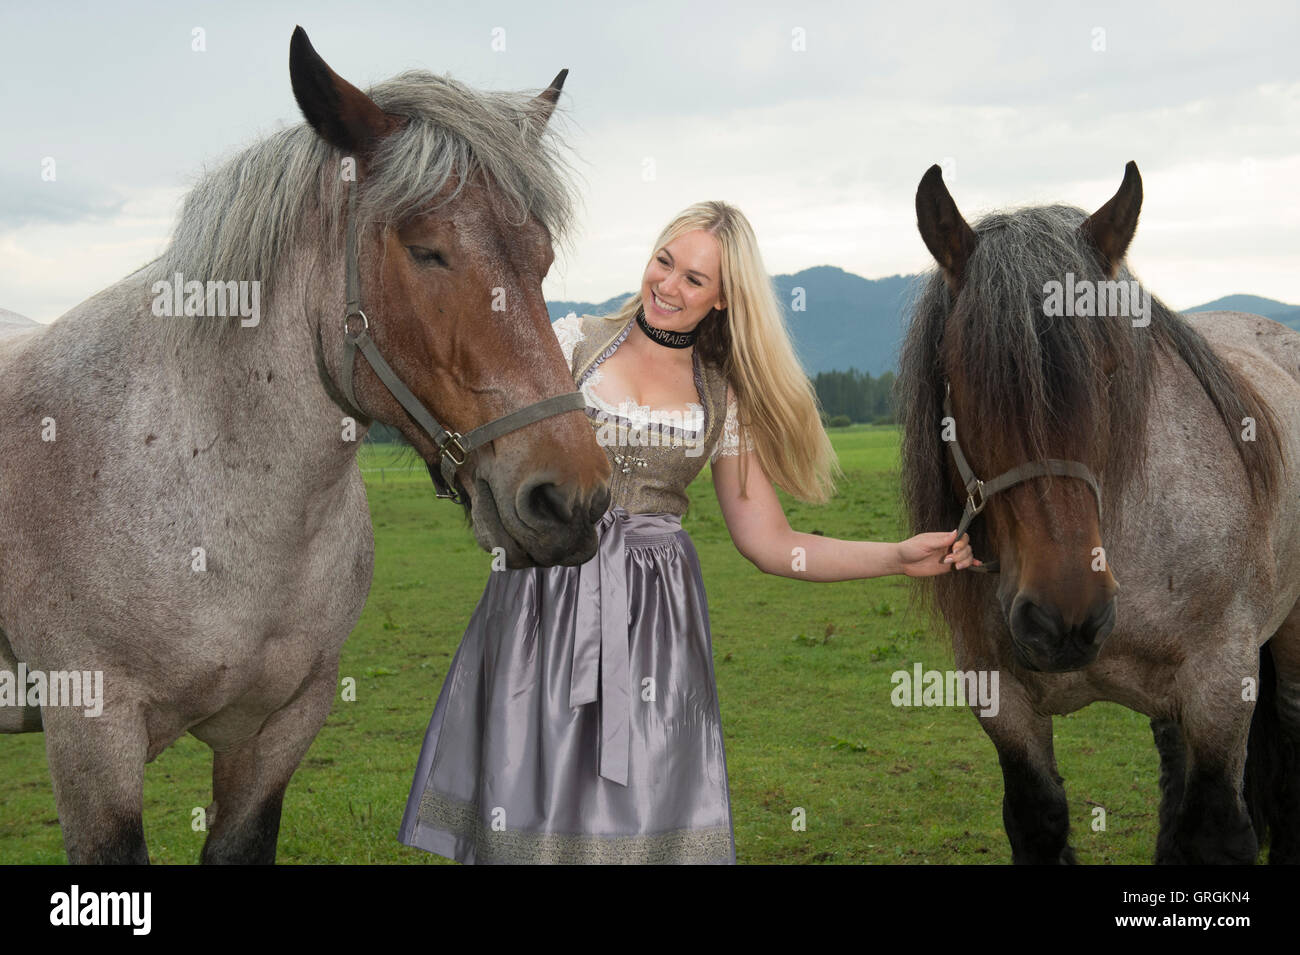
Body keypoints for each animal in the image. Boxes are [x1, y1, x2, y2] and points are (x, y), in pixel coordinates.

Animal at [899, 162, 1300, 867]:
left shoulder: (1222, 683)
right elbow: (1040, 820)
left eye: (1111, 372)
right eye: (965, 379)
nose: (1065, 615)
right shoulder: (1003, 701)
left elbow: (1218, 830)